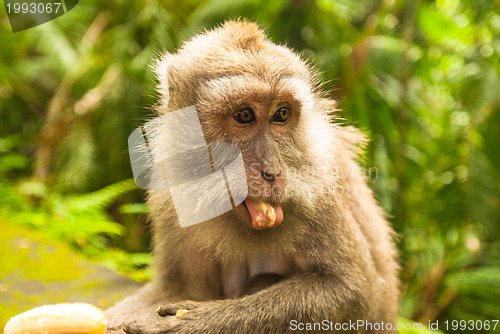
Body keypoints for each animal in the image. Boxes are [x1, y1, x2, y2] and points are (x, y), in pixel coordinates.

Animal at [103, 19, 400, 332]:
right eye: (244, 115)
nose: (272, 171)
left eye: (281, 114)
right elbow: (179, 286)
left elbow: (350, 290)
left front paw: (191, 324)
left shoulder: (323, 189)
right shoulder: (170, 197)